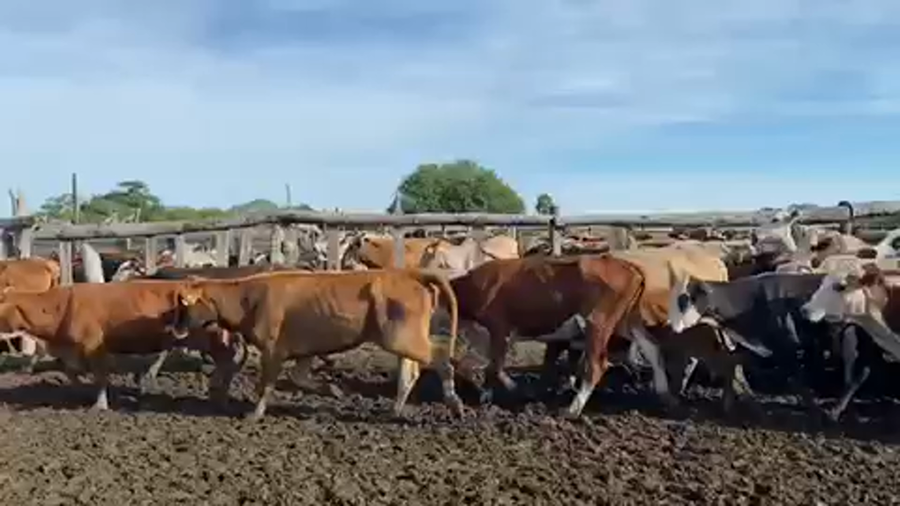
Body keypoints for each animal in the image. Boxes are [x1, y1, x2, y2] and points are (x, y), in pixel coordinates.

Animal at [0, 280, 239, 410]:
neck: (61, 306)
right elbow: (70, 372)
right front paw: (81, 392)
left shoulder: (94, 346)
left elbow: (99, 377)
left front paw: (100, 404)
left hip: (209, 339)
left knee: (228, 361)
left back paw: (220, 397)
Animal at [168, 268, 464, 421]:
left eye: (184, 304)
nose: (176, 329)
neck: (250, 297)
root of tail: (407, 273)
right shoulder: (305, 351)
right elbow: (299, 378)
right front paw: (334, 390)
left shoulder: (273, 350)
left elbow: (265, 385)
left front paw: (255, 415)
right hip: (404, 340)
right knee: (411, 372)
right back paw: (395, 410)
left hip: (402, 338)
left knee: (441, 359)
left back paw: (454, 403)